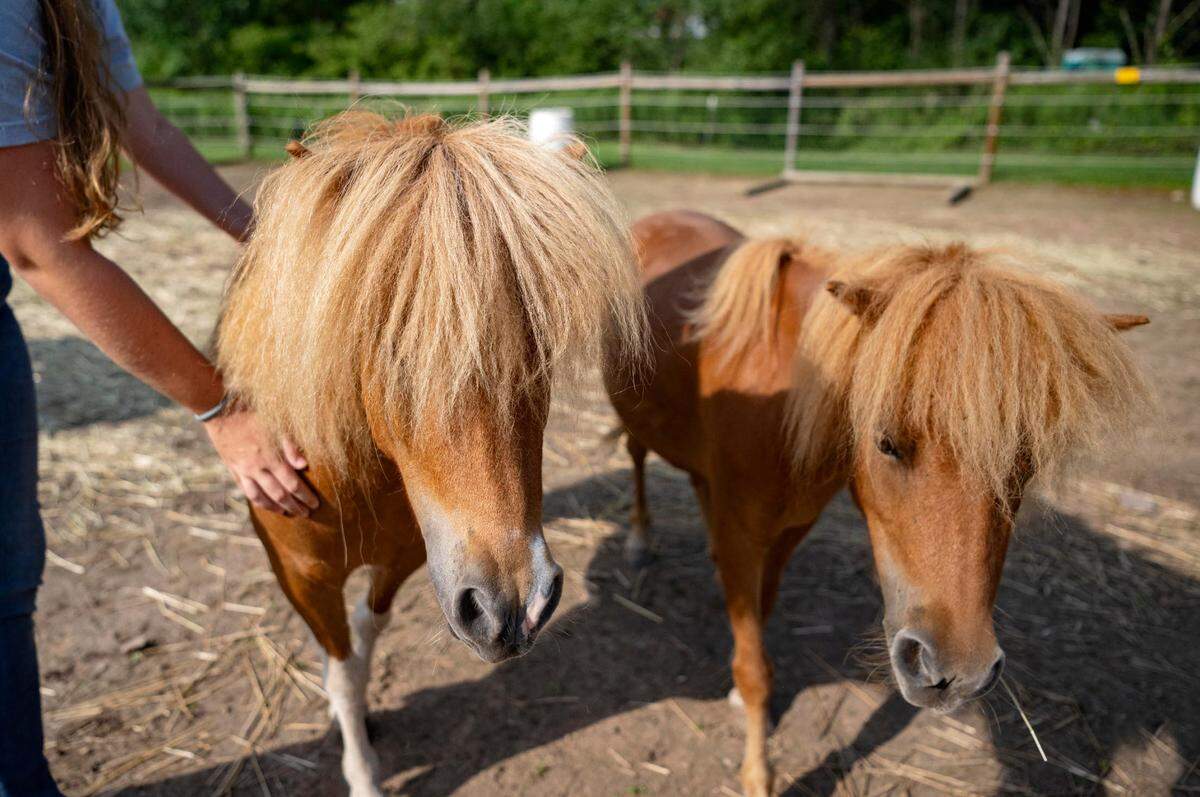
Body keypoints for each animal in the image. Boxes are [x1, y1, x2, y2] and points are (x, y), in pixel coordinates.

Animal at [215, 112, 645, 796]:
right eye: (384, 339)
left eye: (540, 345)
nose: (511, 608)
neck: (347, 479)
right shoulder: (302, 576)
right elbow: (341, 663)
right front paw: (361, 769)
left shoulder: (403, 560)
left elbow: (366, 635)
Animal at [603, 209, 1151, 797]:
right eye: (886, 443)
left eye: (1025, 463)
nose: (958, 672)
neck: (783, 399)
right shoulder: (744, 535)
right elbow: (755, 669)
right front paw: (757, 771)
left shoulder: (787, 531)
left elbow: (759, 615)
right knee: (636, 456)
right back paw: (639, 539)